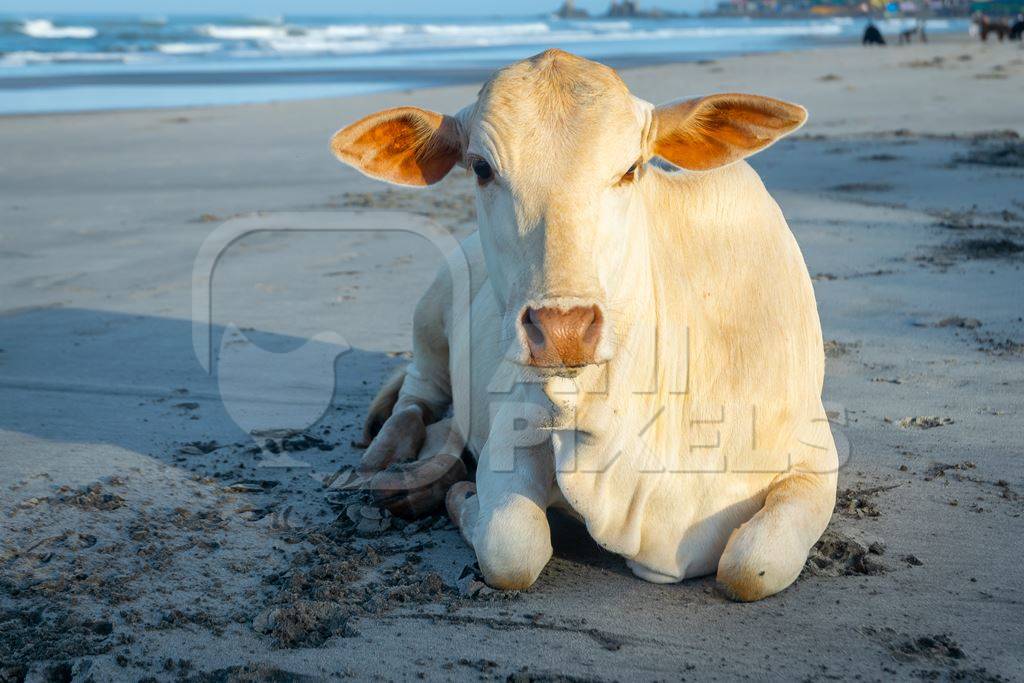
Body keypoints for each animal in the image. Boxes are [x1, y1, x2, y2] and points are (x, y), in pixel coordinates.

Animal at [331, 49, 835, 602]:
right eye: (481, 168)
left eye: (631, 168)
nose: (563, 329)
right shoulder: (515, 429)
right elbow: (513, 547)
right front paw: (462, 497)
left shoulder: (815, 458)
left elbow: (751, 565)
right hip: (431, 315)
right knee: (415, 399)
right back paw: (384, 466)